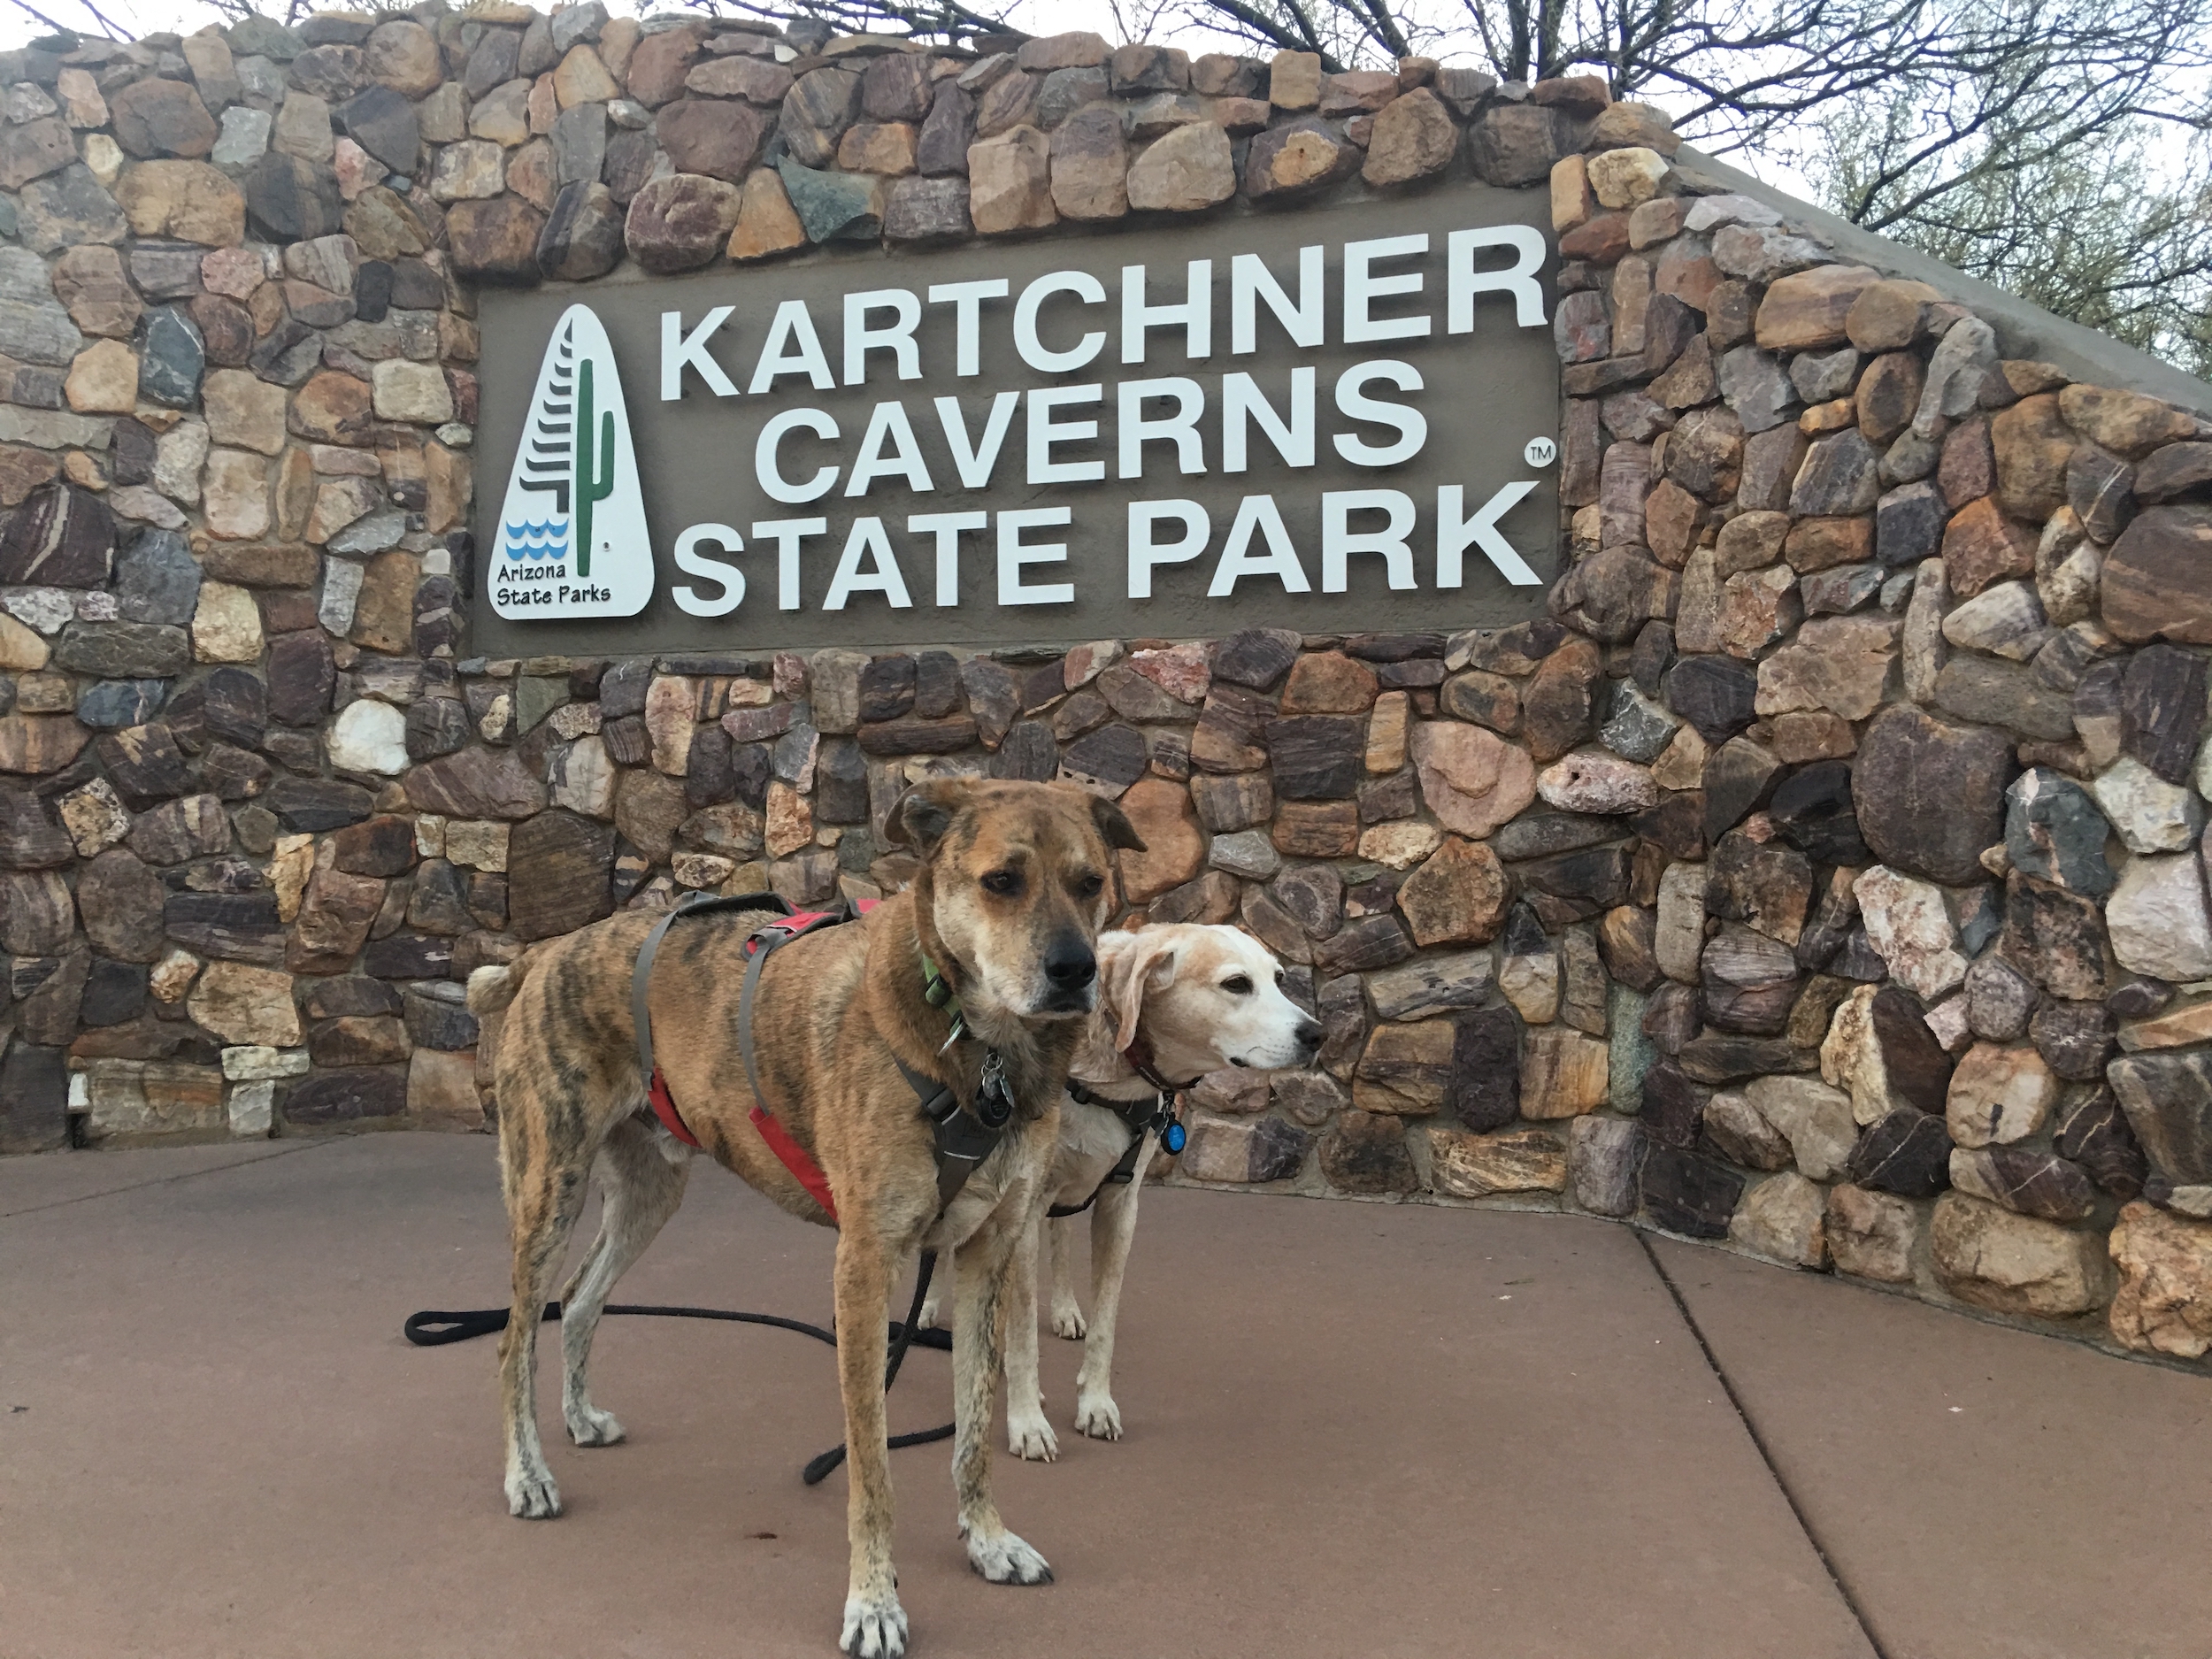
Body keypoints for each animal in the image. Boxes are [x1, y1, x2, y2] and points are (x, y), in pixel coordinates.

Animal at [478, 783, 1150, 1659]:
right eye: (1001, 880)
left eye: (1090, 882)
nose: (1076, 971)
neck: (979, 1055)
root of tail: (548, 952)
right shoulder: (864, 1267)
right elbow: (873, 1466)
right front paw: (874, 1601)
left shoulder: (988, 1251)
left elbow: (974, 1429)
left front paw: (987, 1540)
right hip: (546, 1186)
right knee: (514, 1336)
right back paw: (527, 1473)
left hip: (651, 1190)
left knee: (584, 1297)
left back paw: (581, 1417)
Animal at [925, 929, 1318, 1460]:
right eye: (1237, 983)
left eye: (1278, 978)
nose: (1317, 1034)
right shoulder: (1019, 1209)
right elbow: (1021, 1329)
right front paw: (1026, 1420)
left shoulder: (1119, 1205)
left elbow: (1105, 1322)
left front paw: (1095, 1403)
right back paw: (928, 1310)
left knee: (1059, 1238)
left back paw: (1064, 1310)